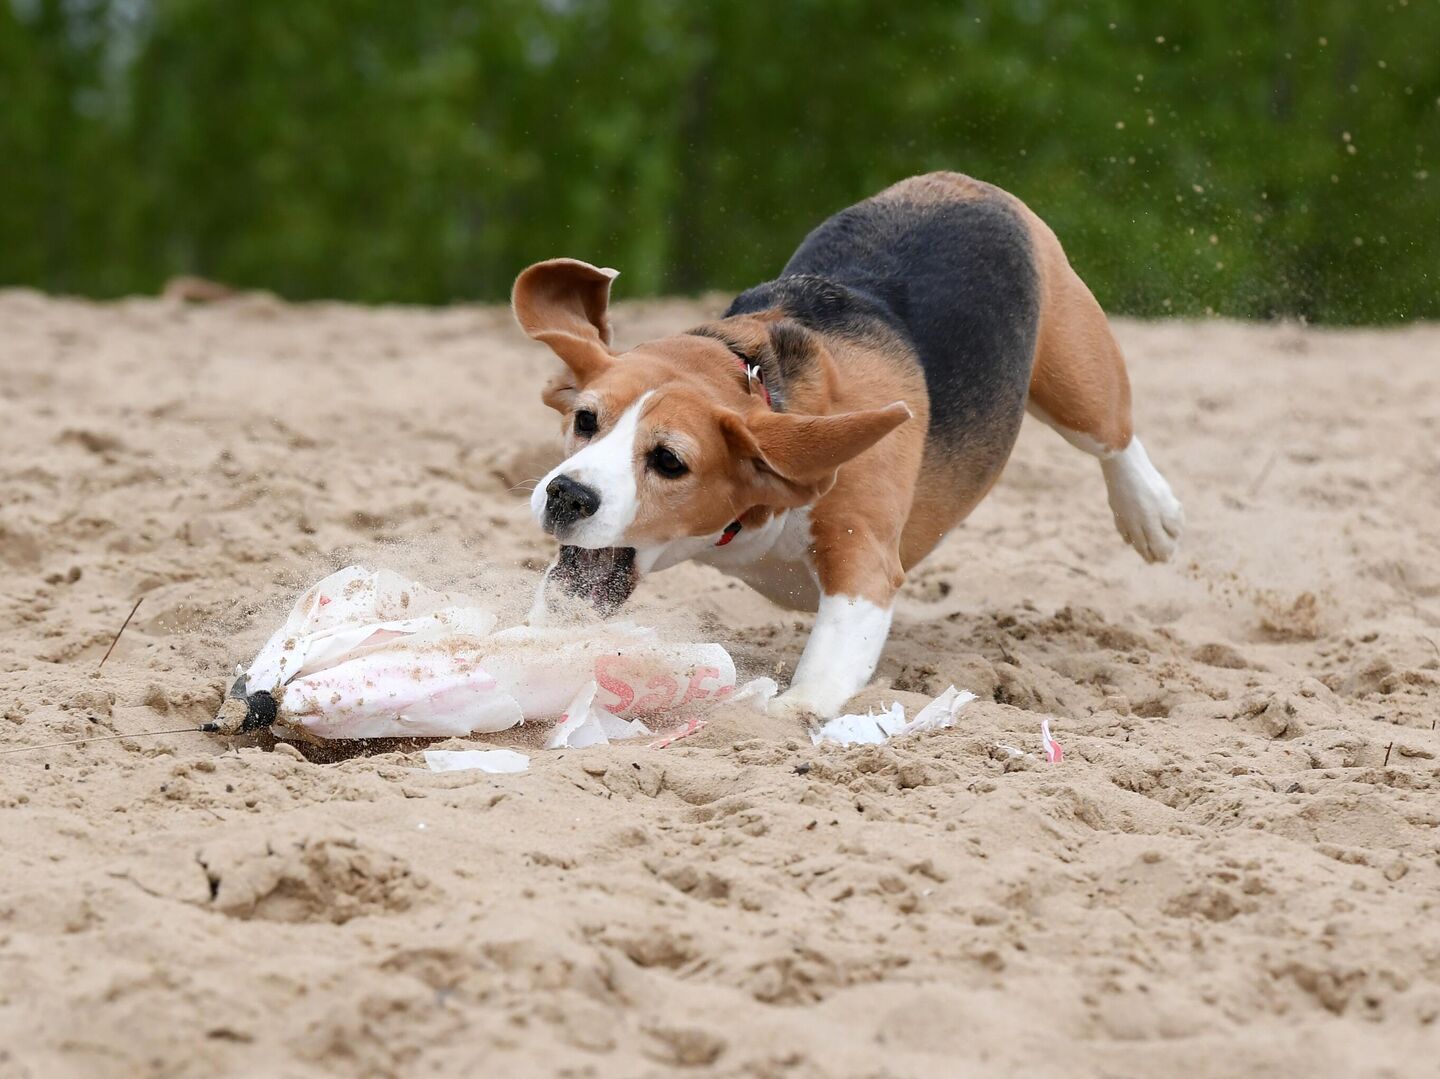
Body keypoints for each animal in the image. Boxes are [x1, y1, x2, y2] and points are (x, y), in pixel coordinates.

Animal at [515, 172, 1180, 720]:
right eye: (585, 420)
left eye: (669, 461)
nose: (567, 495)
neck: (764, 384)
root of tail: (963, 183)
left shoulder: (863, 554)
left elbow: (831, 653)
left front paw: (797, 704)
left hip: (1077, 379)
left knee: (1114, 438)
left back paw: (1150, 513)